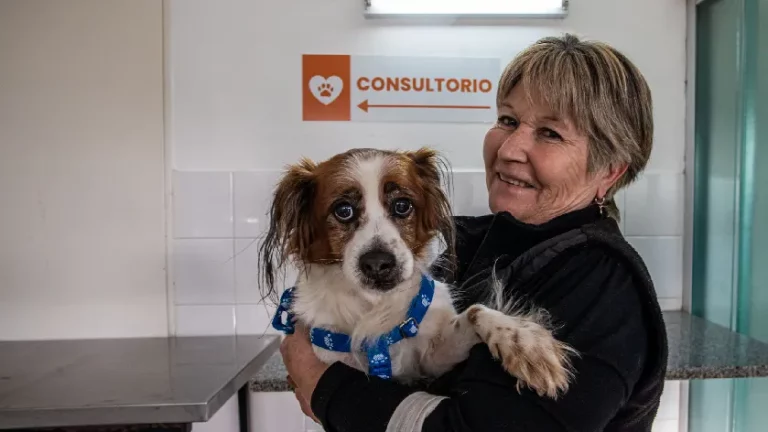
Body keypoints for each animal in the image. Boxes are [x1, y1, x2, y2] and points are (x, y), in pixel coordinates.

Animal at [258, 147, 576, 398]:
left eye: (402, 205)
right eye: (343, 210)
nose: (378, 263)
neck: (376, 307)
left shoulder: (431, 359)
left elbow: (476, 311)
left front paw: (525, 343)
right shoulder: (330, 355)